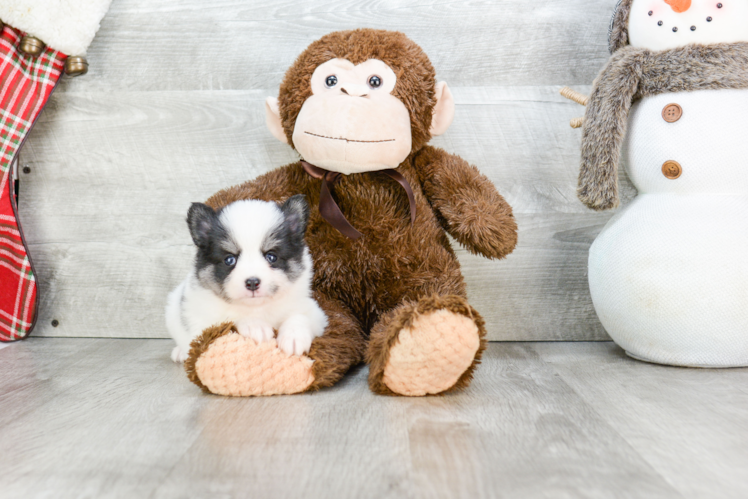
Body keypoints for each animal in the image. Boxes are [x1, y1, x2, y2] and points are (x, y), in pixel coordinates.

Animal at [165, 195, 326, 364]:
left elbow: (299, 316)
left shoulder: (314, 312)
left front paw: (294, 336)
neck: (257, 307)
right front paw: (255, 325)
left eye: (272, 257)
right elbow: (231, 317)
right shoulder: (203, 324)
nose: (253, 282)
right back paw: (180, 352)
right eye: (229, 260)